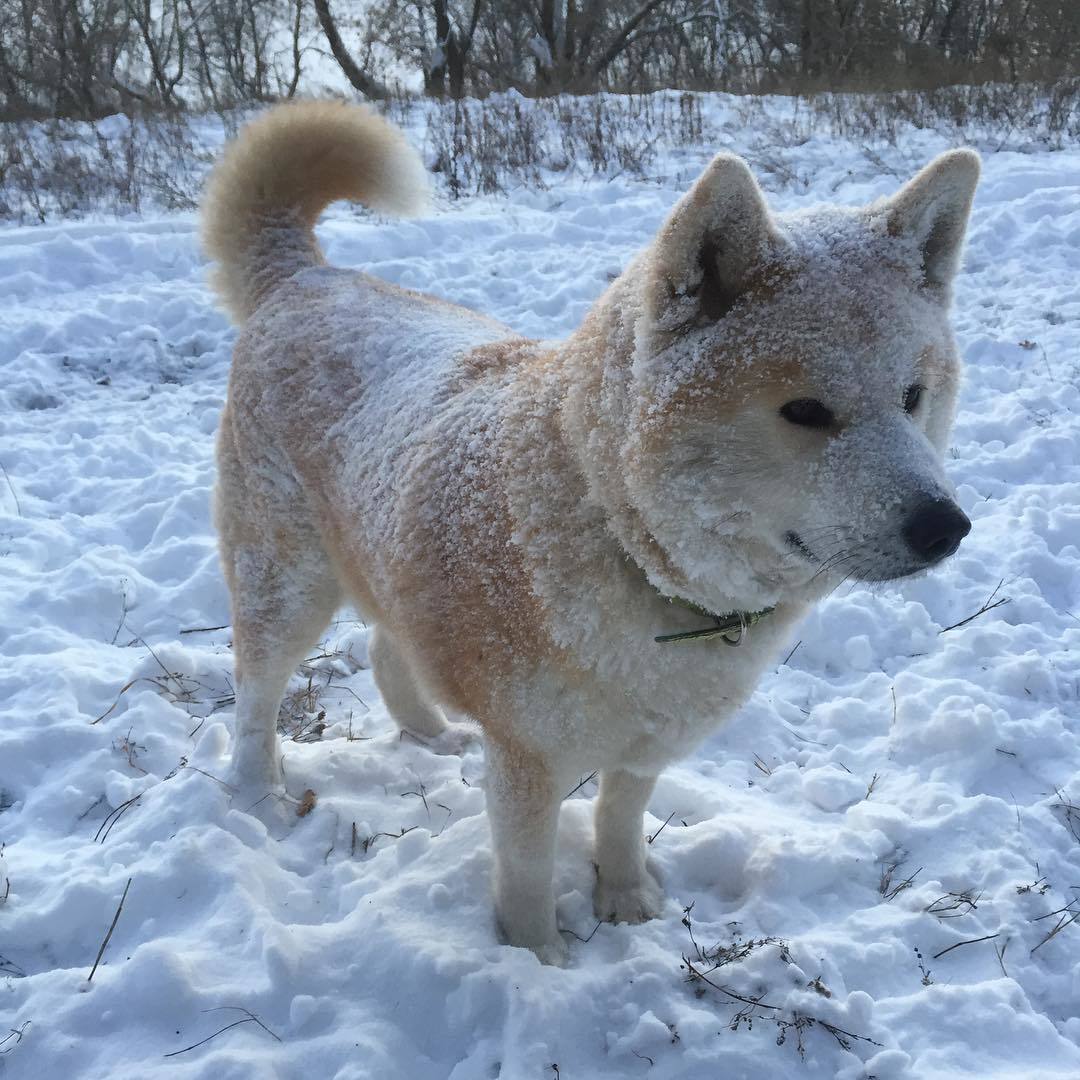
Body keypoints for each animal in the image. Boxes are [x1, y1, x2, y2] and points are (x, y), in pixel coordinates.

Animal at [203, 99, 980, 963]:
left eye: (912, 396)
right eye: (805, 411)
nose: (946, 527)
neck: (619, 534)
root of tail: (304, 278)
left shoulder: (648, 743)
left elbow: (619, 818)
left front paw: (627, 901)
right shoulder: (527, 763)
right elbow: (529, 875)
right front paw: (537, 960)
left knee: (384, 648)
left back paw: (431, 735)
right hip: (285, 583)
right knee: (256, 696)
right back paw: (260, 796)